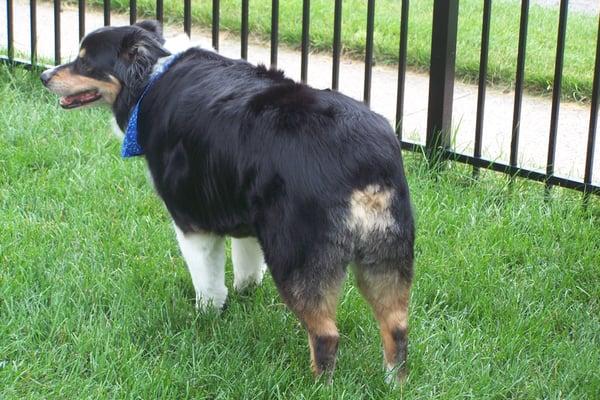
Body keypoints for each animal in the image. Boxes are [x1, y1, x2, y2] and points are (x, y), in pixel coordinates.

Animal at [39, 21, 414, 382]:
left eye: (85, 62)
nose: (44, 76)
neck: (150, 78)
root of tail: (364, 160)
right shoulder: (245, 213)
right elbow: (246, 266)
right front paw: (245, 295)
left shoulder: (191, 221)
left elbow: (206, 280)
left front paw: (207, 316)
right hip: (387, 252)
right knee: (396, 327)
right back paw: (393, 383)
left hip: (298, 255)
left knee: (326, 335)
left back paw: (319, 388)